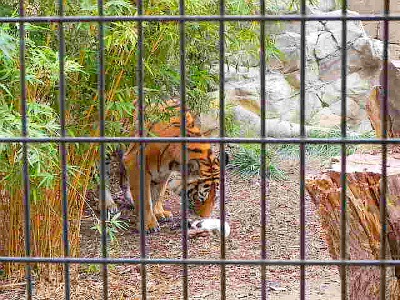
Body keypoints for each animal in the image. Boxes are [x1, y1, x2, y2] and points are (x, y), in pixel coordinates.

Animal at [106, 104, 223, 233]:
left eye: (215, 198)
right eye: (199, 198)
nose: (204, 219)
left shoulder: (164, 171)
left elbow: (158, 193)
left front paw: (159, 213)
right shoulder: (136, 164)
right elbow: (145, 200)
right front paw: (149, 224)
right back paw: (109, 205)